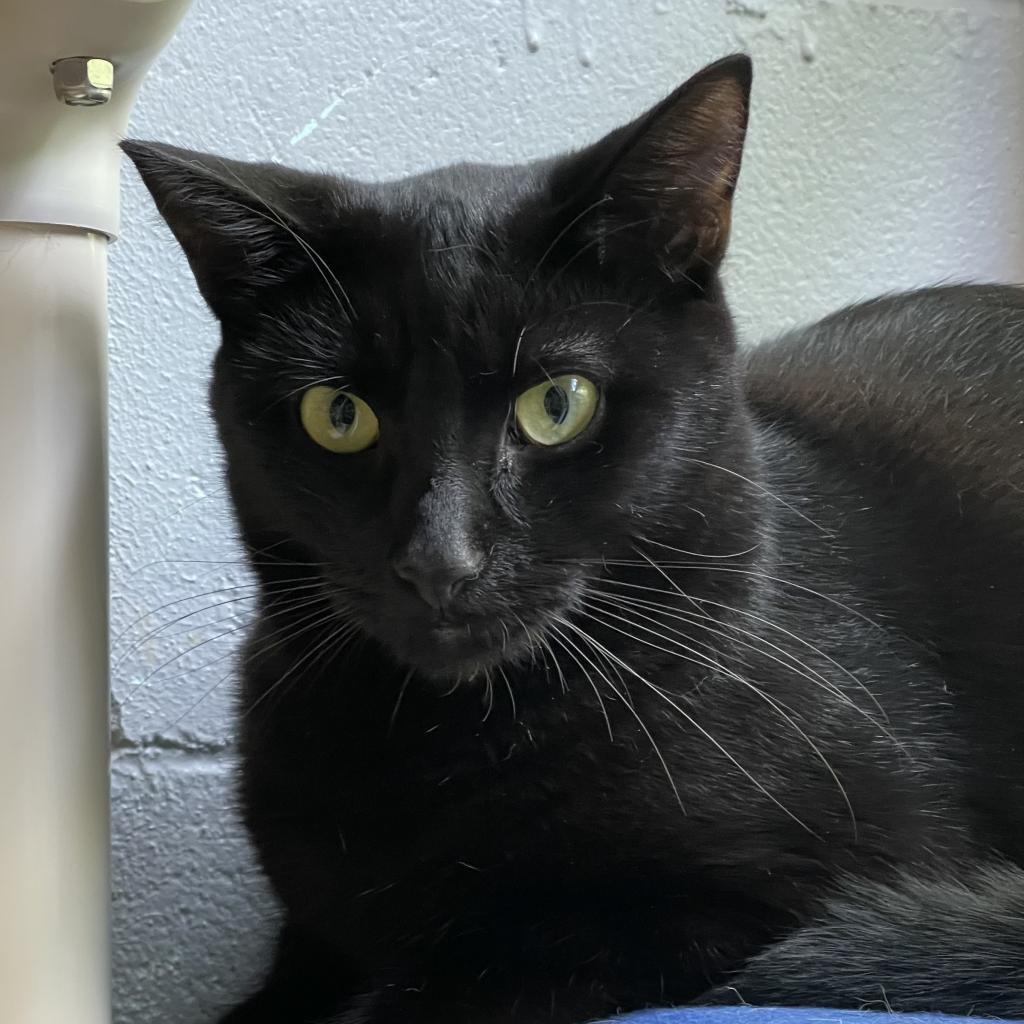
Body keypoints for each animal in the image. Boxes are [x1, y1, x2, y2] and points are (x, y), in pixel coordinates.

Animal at [121, 58, 1024, 1024]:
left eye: (558, 404)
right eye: (338, 415)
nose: (439, 560)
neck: (435, 739)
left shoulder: (762, 897)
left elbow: (472, 968)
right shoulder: (313, 933)